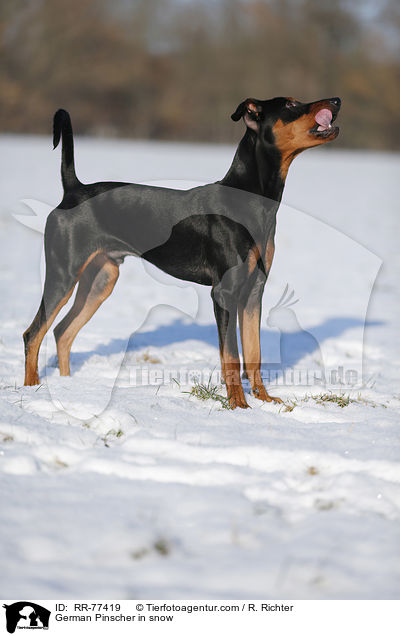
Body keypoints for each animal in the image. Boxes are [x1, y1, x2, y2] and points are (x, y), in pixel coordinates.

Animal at [22, 97, 340, 410]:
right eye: (290, 105)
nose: (336, 101)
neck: (252, 203)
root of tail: (73, 190)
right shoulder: (224, 292)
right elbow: (231, 356)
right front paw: (238, 405)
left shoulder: (254, 291)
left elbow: (254, 353)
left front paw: (264, 401)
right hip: (64, 273)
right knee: (33, 334)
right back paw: (31, 389)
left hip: (101, 280)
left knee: (63, 332)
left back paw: (68, 388)